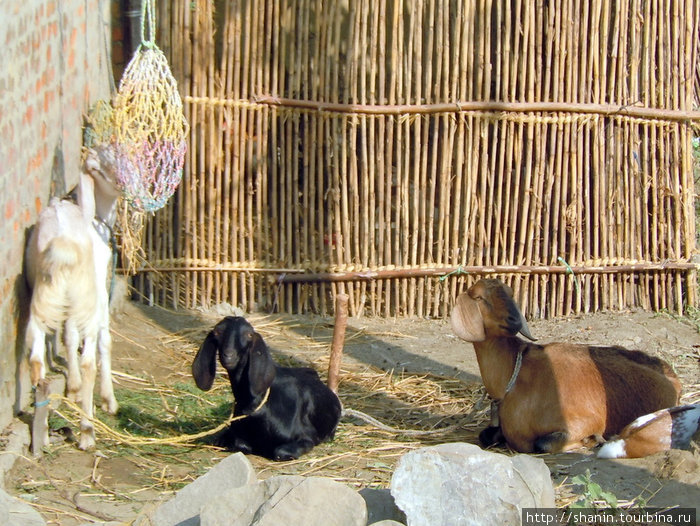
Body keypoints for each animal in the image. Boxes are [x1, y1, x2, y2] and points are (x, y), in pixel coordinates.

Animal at [26, 146, 121, 452]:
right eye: (105, 162)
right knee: (89, 358)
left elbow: (68, 336)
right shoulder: (98, 289)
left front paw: (73, 389)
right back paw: (87, 433)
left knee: (37, 364)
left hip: (42, 301)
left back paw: (42, 437)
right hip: (84, 300)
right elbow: (104, 339)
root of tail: (63, 246)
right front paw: (108, 400)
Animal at [193, 318, 344, 462]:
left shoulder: (307, 437)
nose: (229, 355)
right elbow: (238, 443)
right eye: (217, 332)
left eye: (249, 334)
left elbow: (280, 451)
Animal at [452, 278, 680, 456]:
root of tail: (671, 375)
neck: (514, 376)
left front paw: (591, 440)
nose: (514, 320)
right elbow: (485, 436)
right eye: (479, 298)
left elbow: (542, 443)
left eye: (510, 293)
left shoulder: (585, 420)